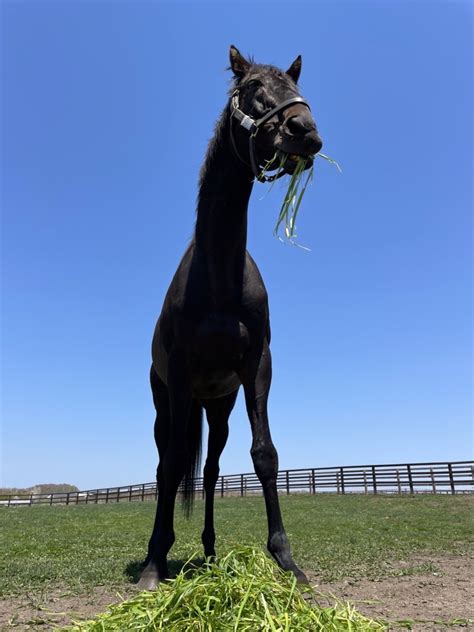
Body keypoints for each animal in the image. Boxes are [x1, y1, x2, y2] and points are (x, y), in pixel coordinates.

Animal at [137, 45, 322, 592]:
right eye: (252, 88)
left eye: (295, 86)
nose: (305, 129)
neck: (219, 272)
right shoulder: (178, 375)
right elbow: (173, 463)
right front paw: (154, 564)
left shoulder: (257, 366)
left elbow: (265, 455)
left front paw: (286, 561)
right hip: (166, 401)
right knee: (167, 460)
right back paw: (161, 551)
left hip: (218, 406)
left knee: (213, 468)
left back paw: (211, 550)